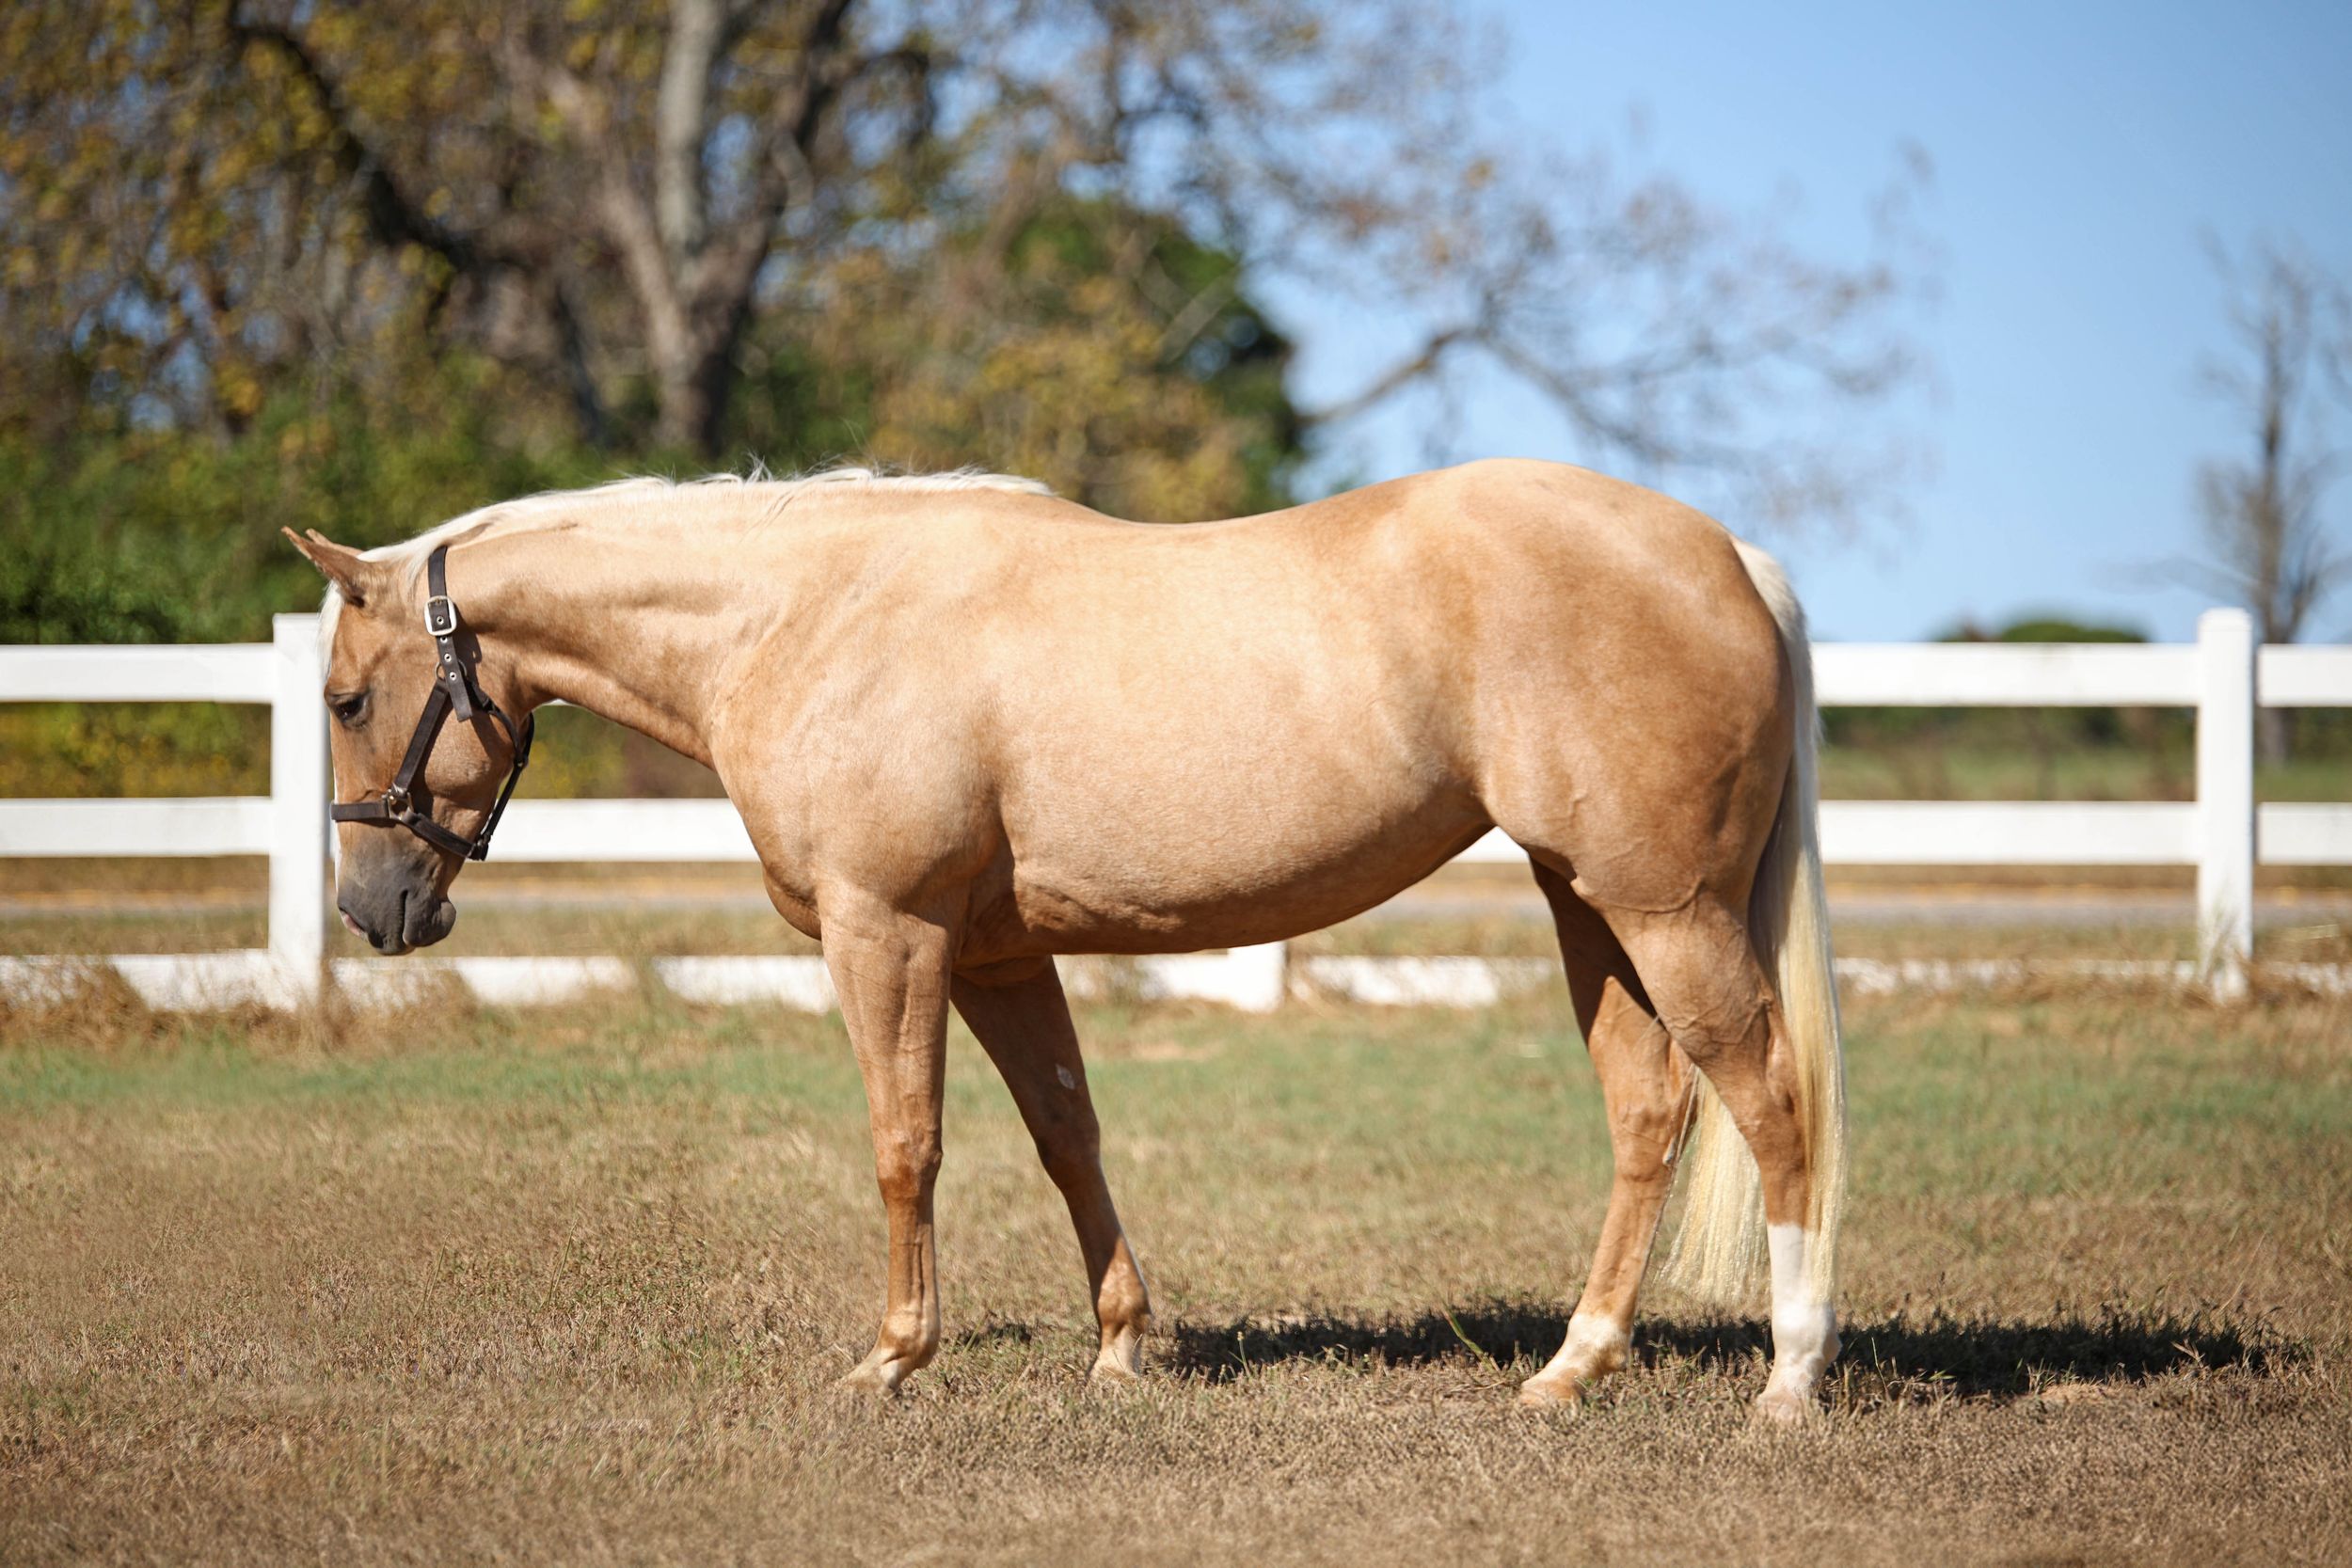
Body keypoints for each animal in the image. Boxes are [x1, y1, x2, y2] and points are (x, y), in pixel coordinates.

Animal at [286, 457, 1848, 1420]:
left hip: (1666, 909)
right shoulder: (996, 952)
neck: (810, 615)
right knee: (1648, 1110)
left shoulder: (889, 933)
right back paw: (1571, 1369)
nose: (376, 907)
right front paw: (1118, 1347)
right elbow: (1065, 1132)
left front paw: (892, 1360)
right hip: (1590, 904)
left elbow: (905, 1143)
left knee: (1774, 1104)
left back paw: (1788, 1379)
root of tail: (1733, 555)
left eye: (348, 697)